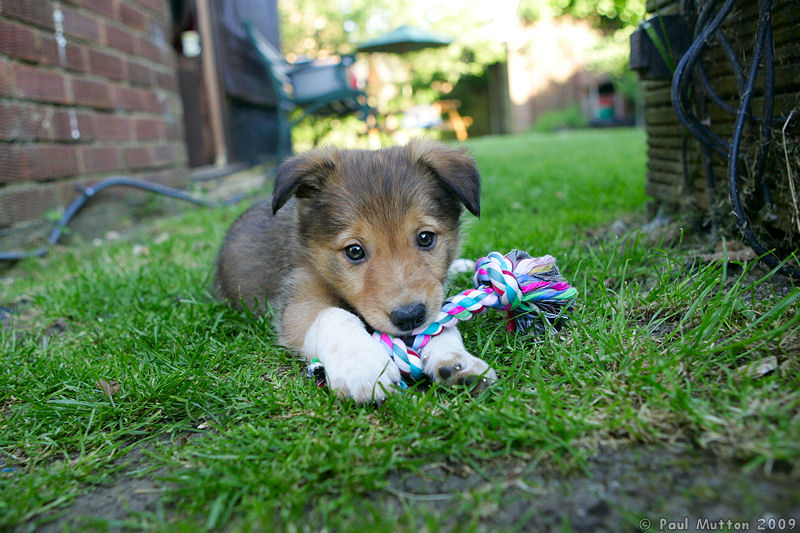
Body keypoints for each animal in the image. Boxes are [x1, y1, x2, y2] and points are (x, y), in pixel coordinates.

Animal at [216, 139, 496, 402]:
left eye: (425, 237)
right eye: (354, 251)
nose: (409, 317)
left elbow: (441, 324)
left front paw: (457, 360)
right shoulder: (299, 299)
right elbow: (334, 315)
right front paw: (363, 366)